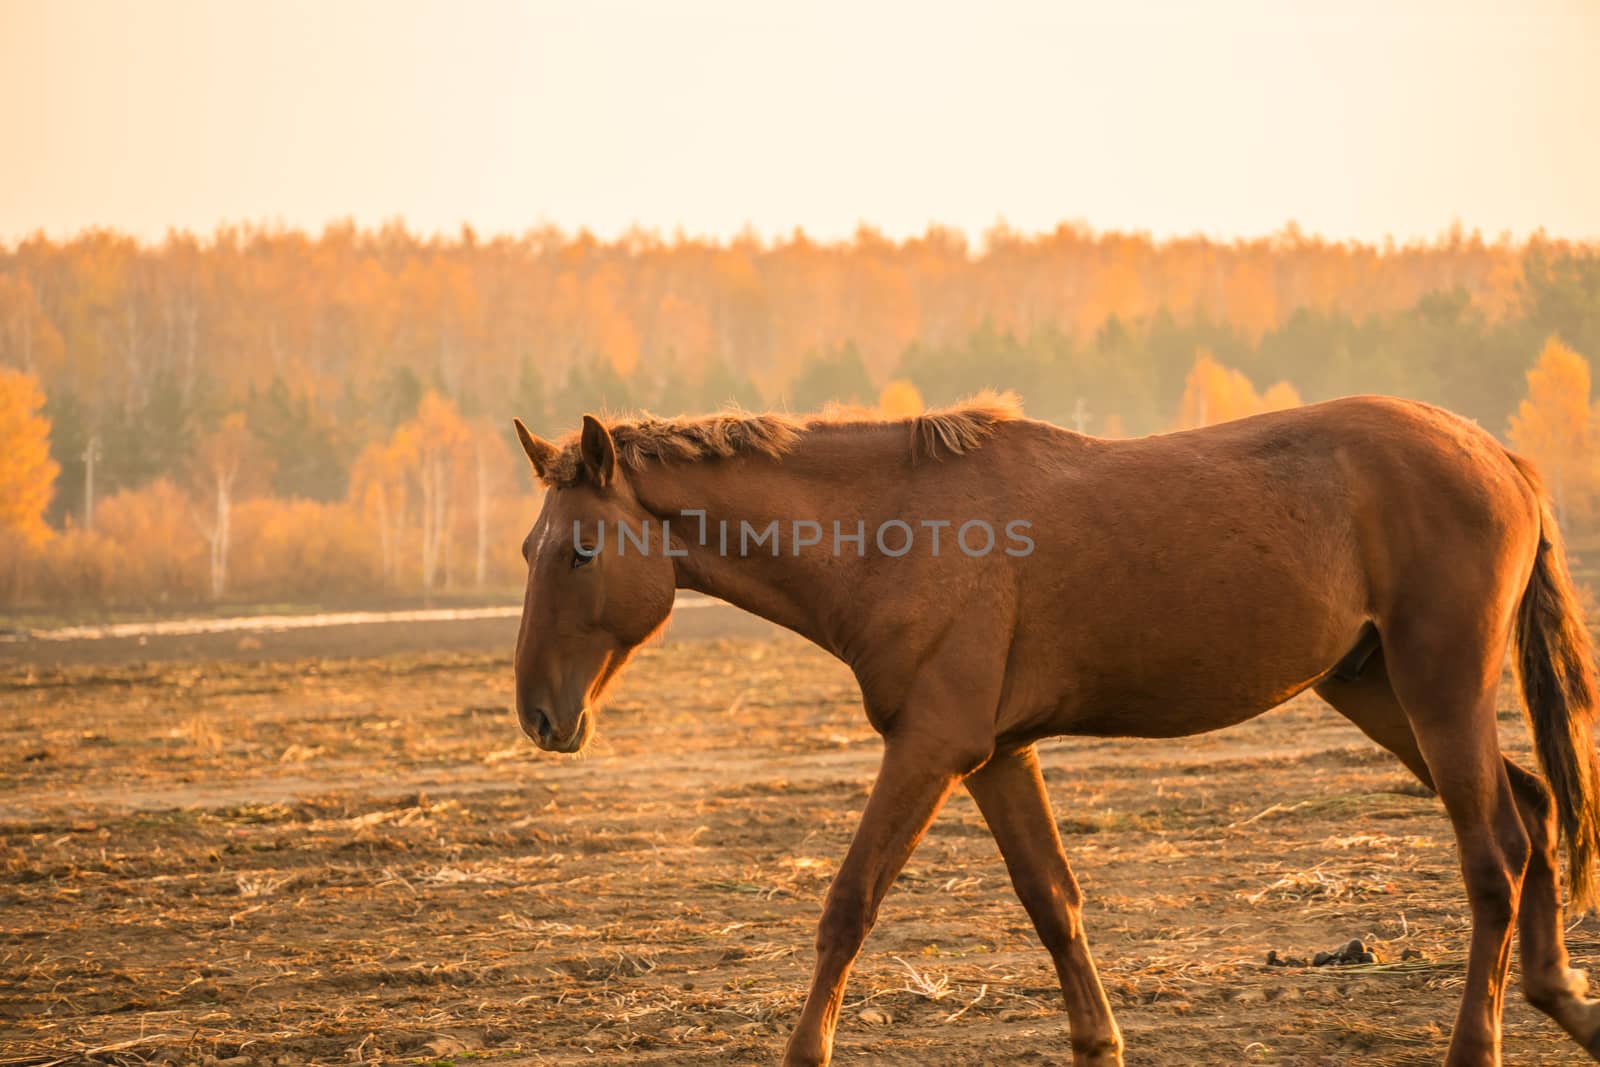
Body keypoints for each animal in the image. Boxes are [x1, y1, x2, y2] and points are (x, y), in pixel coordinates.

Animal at [508, 396, 1600, 1067]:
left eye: (580, 549)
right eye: (529, 547)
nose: (539, 716)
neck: (893, 533)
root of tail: (1499, 457)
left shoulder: (929, 749)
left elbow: (848, 904)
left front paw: (804, 1049)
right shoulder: (995, 755)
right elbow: (1053, 902)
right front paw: (1099, 1041)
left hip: (1436, 685)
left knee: (1494, 854)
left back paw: (1481, 1041)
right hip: (1376, 688)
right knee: (1535, 807)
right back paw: (1565, 998)